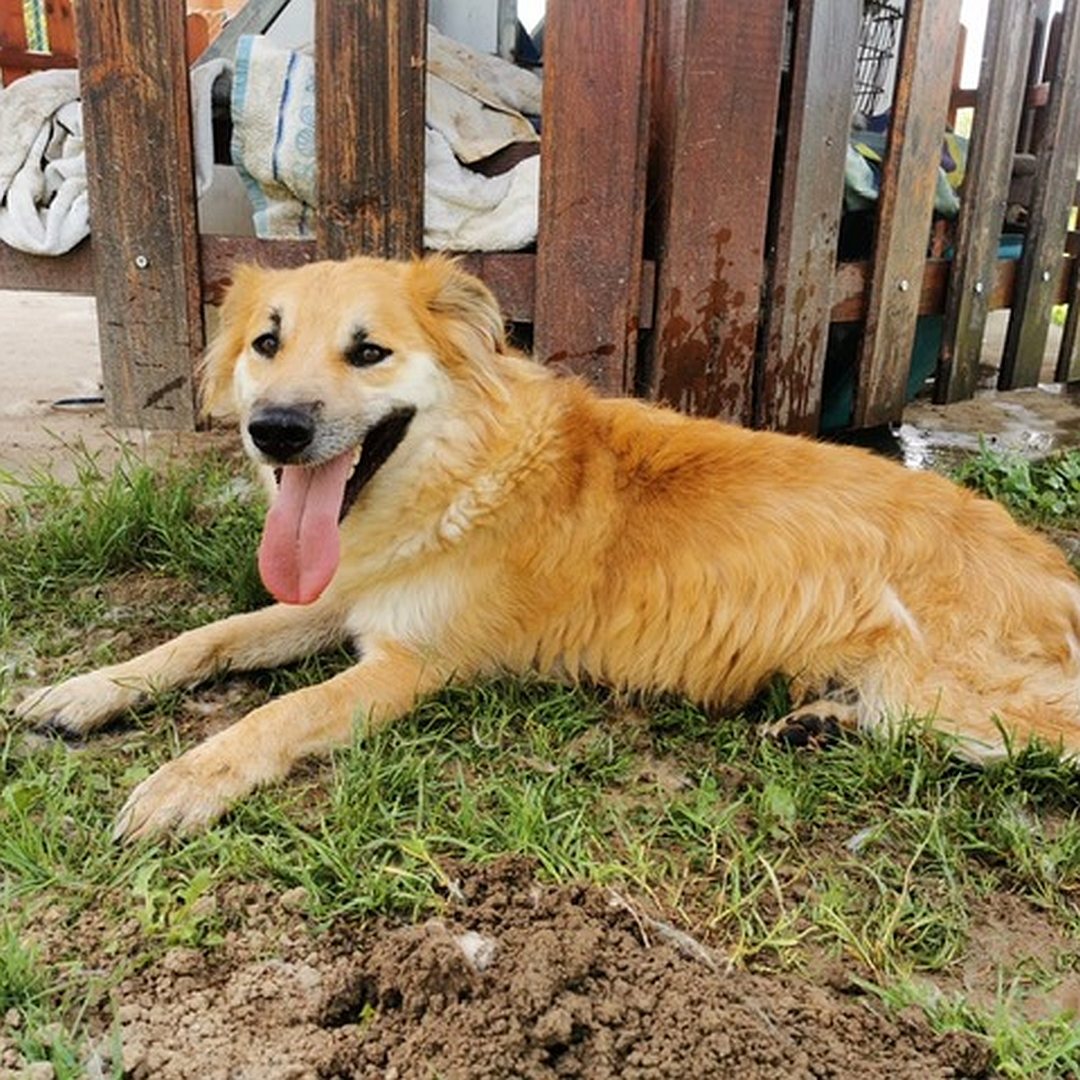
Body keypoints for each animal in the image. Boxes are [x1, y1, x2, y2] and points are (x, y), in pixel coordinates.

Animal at [19, 254, 1080, 842]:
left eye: (369, 352)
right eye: (266, 344)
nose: (274, 431)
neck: (459, 481)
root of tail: (1055, 573)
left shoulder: (409, 665)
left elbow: (273, 716)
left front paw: (182, 783)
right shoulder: (341, 598)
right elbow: (207, 640)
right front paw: (88, 690)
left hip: (942, 688)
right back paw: (820, 722)